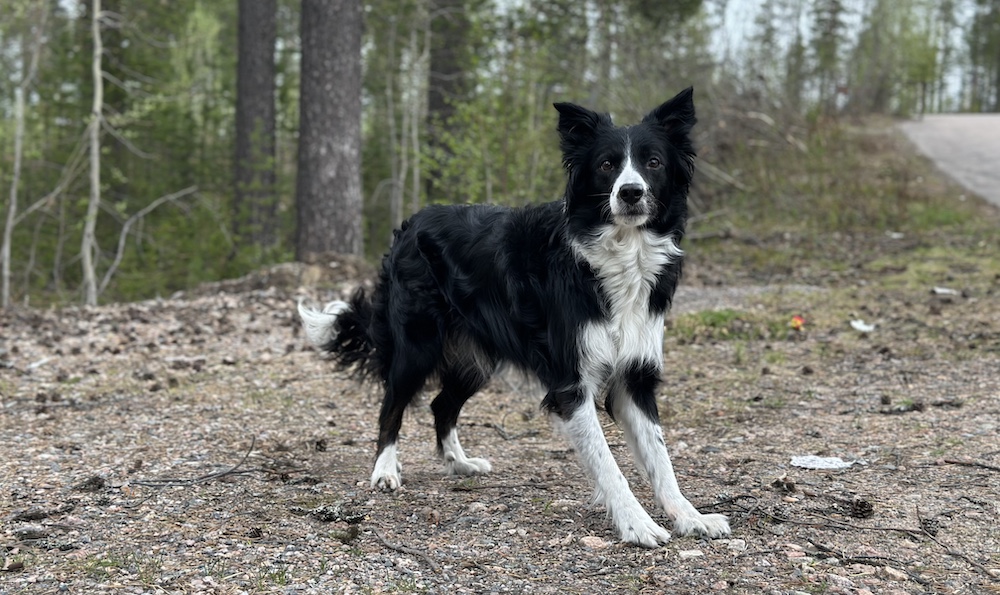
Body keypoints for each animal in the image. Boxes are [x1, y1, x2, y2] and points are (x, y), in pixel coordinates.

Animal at [296, 86, 728, 548]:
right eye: (607, 165)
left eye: (653, 163)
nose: (630, 192)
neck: (617, 252)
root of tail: (411, 222)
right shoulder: (571, 383)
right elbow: (609, 464)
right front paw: (636, 523)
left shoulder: (635, 375)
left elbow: (661, 458)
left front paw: (689, 516)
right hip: (418, 345)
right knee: (392, 404)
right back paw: (384, 470)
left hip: (476, 357)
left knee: (441, 404)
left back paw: (460, 462)